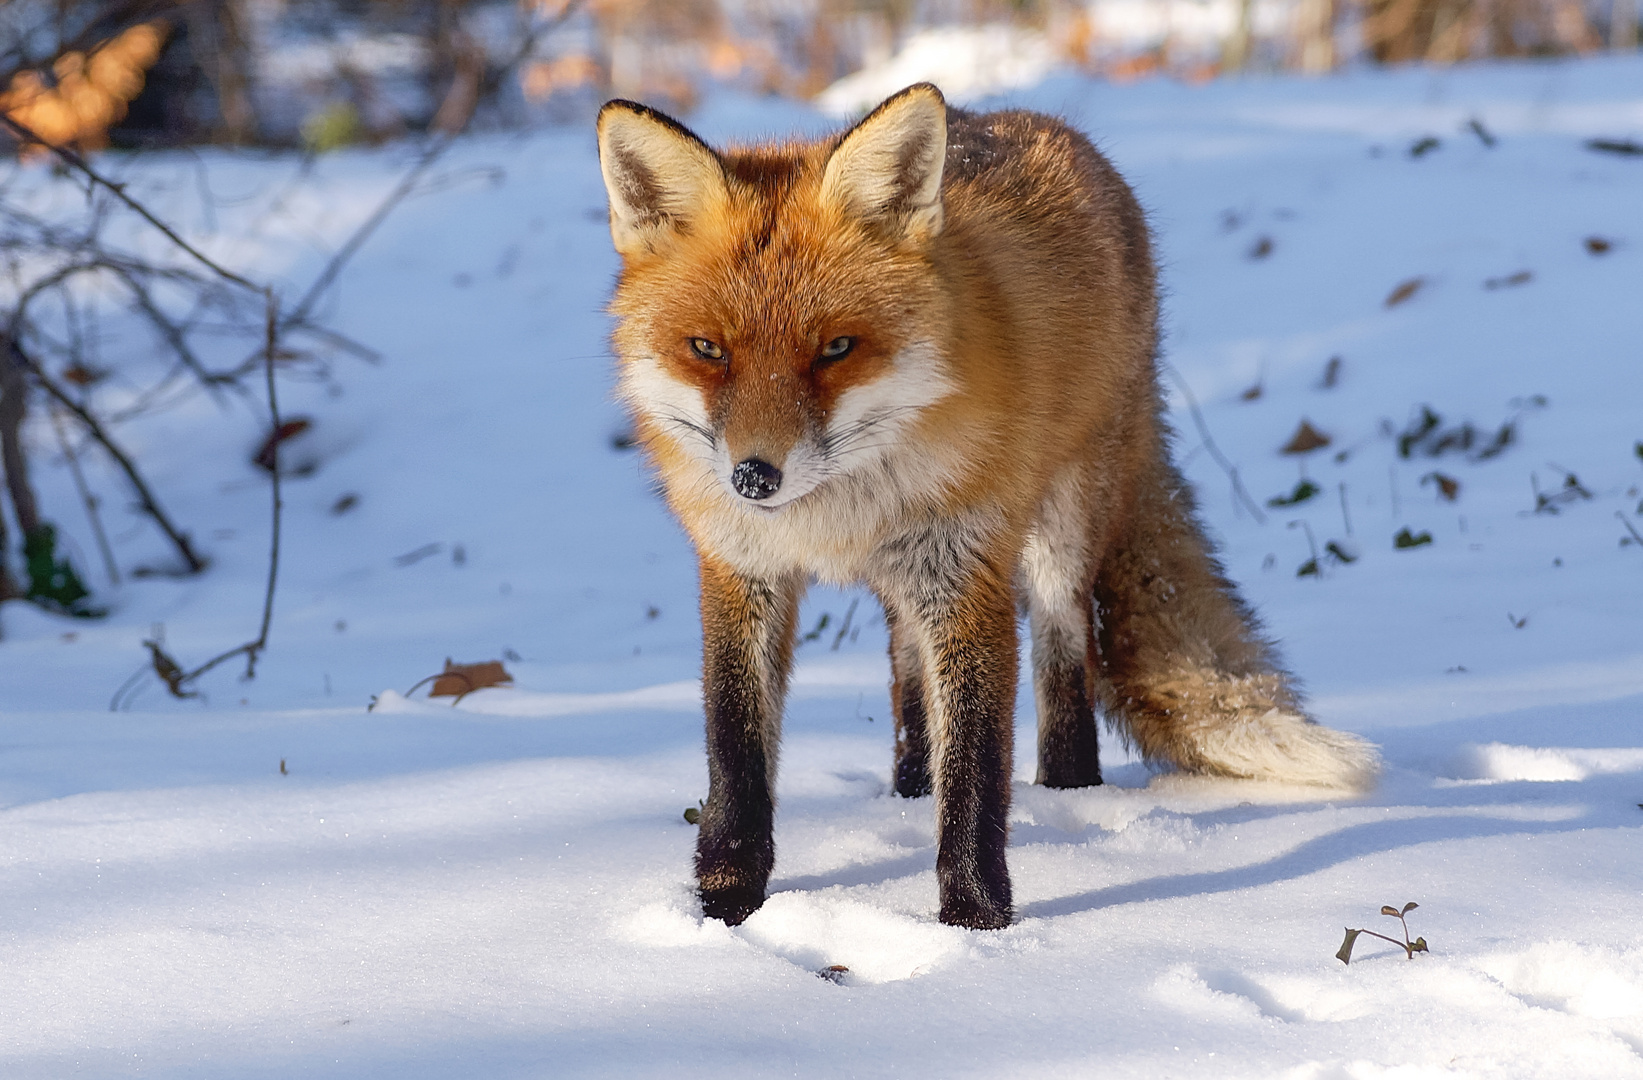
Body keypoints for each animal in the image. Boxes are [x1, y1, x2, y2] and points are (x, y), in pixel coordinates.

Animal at [598, 82, 1380, 927]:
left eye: (835, 349)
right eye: (707, 350)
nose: (752, 478)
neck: (835, 516)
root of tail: (1046, 123)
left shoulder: (969, 573)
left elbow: (975, 767)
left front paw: (974, 921)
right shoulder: (742, 570)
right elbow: (735, 750)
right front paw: (726, 907)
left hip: (1057, 535)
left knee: (1065, 662)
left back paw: (1068, 796)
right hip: (912, 580)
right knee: (907, 671)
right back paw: (906, 795)